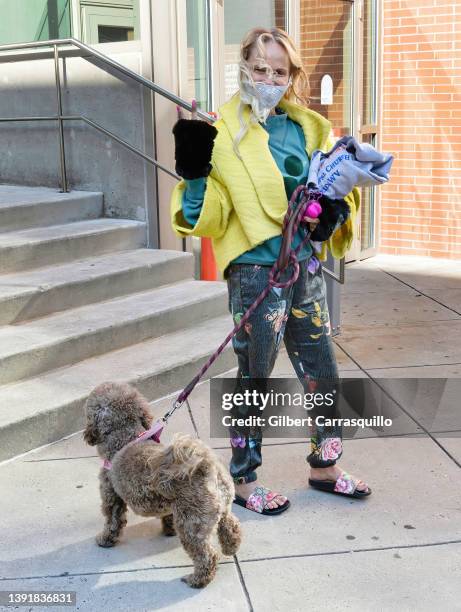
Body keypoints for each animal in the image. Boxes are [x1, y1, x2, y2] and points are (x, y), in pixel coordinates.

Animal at [83, 382, 241, 588]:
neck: (125, 438)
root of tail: (206, 466)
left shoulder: (111, 496)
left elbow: (113, 521)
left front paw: (105, 540)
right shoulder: (168, 504)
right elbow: (167, 516)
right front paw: (168, 530)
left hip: (192, 523)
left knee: (206, 556)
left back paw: (197, 580)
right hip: (222, 508)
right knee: (231, 526)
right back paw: (231, 547)